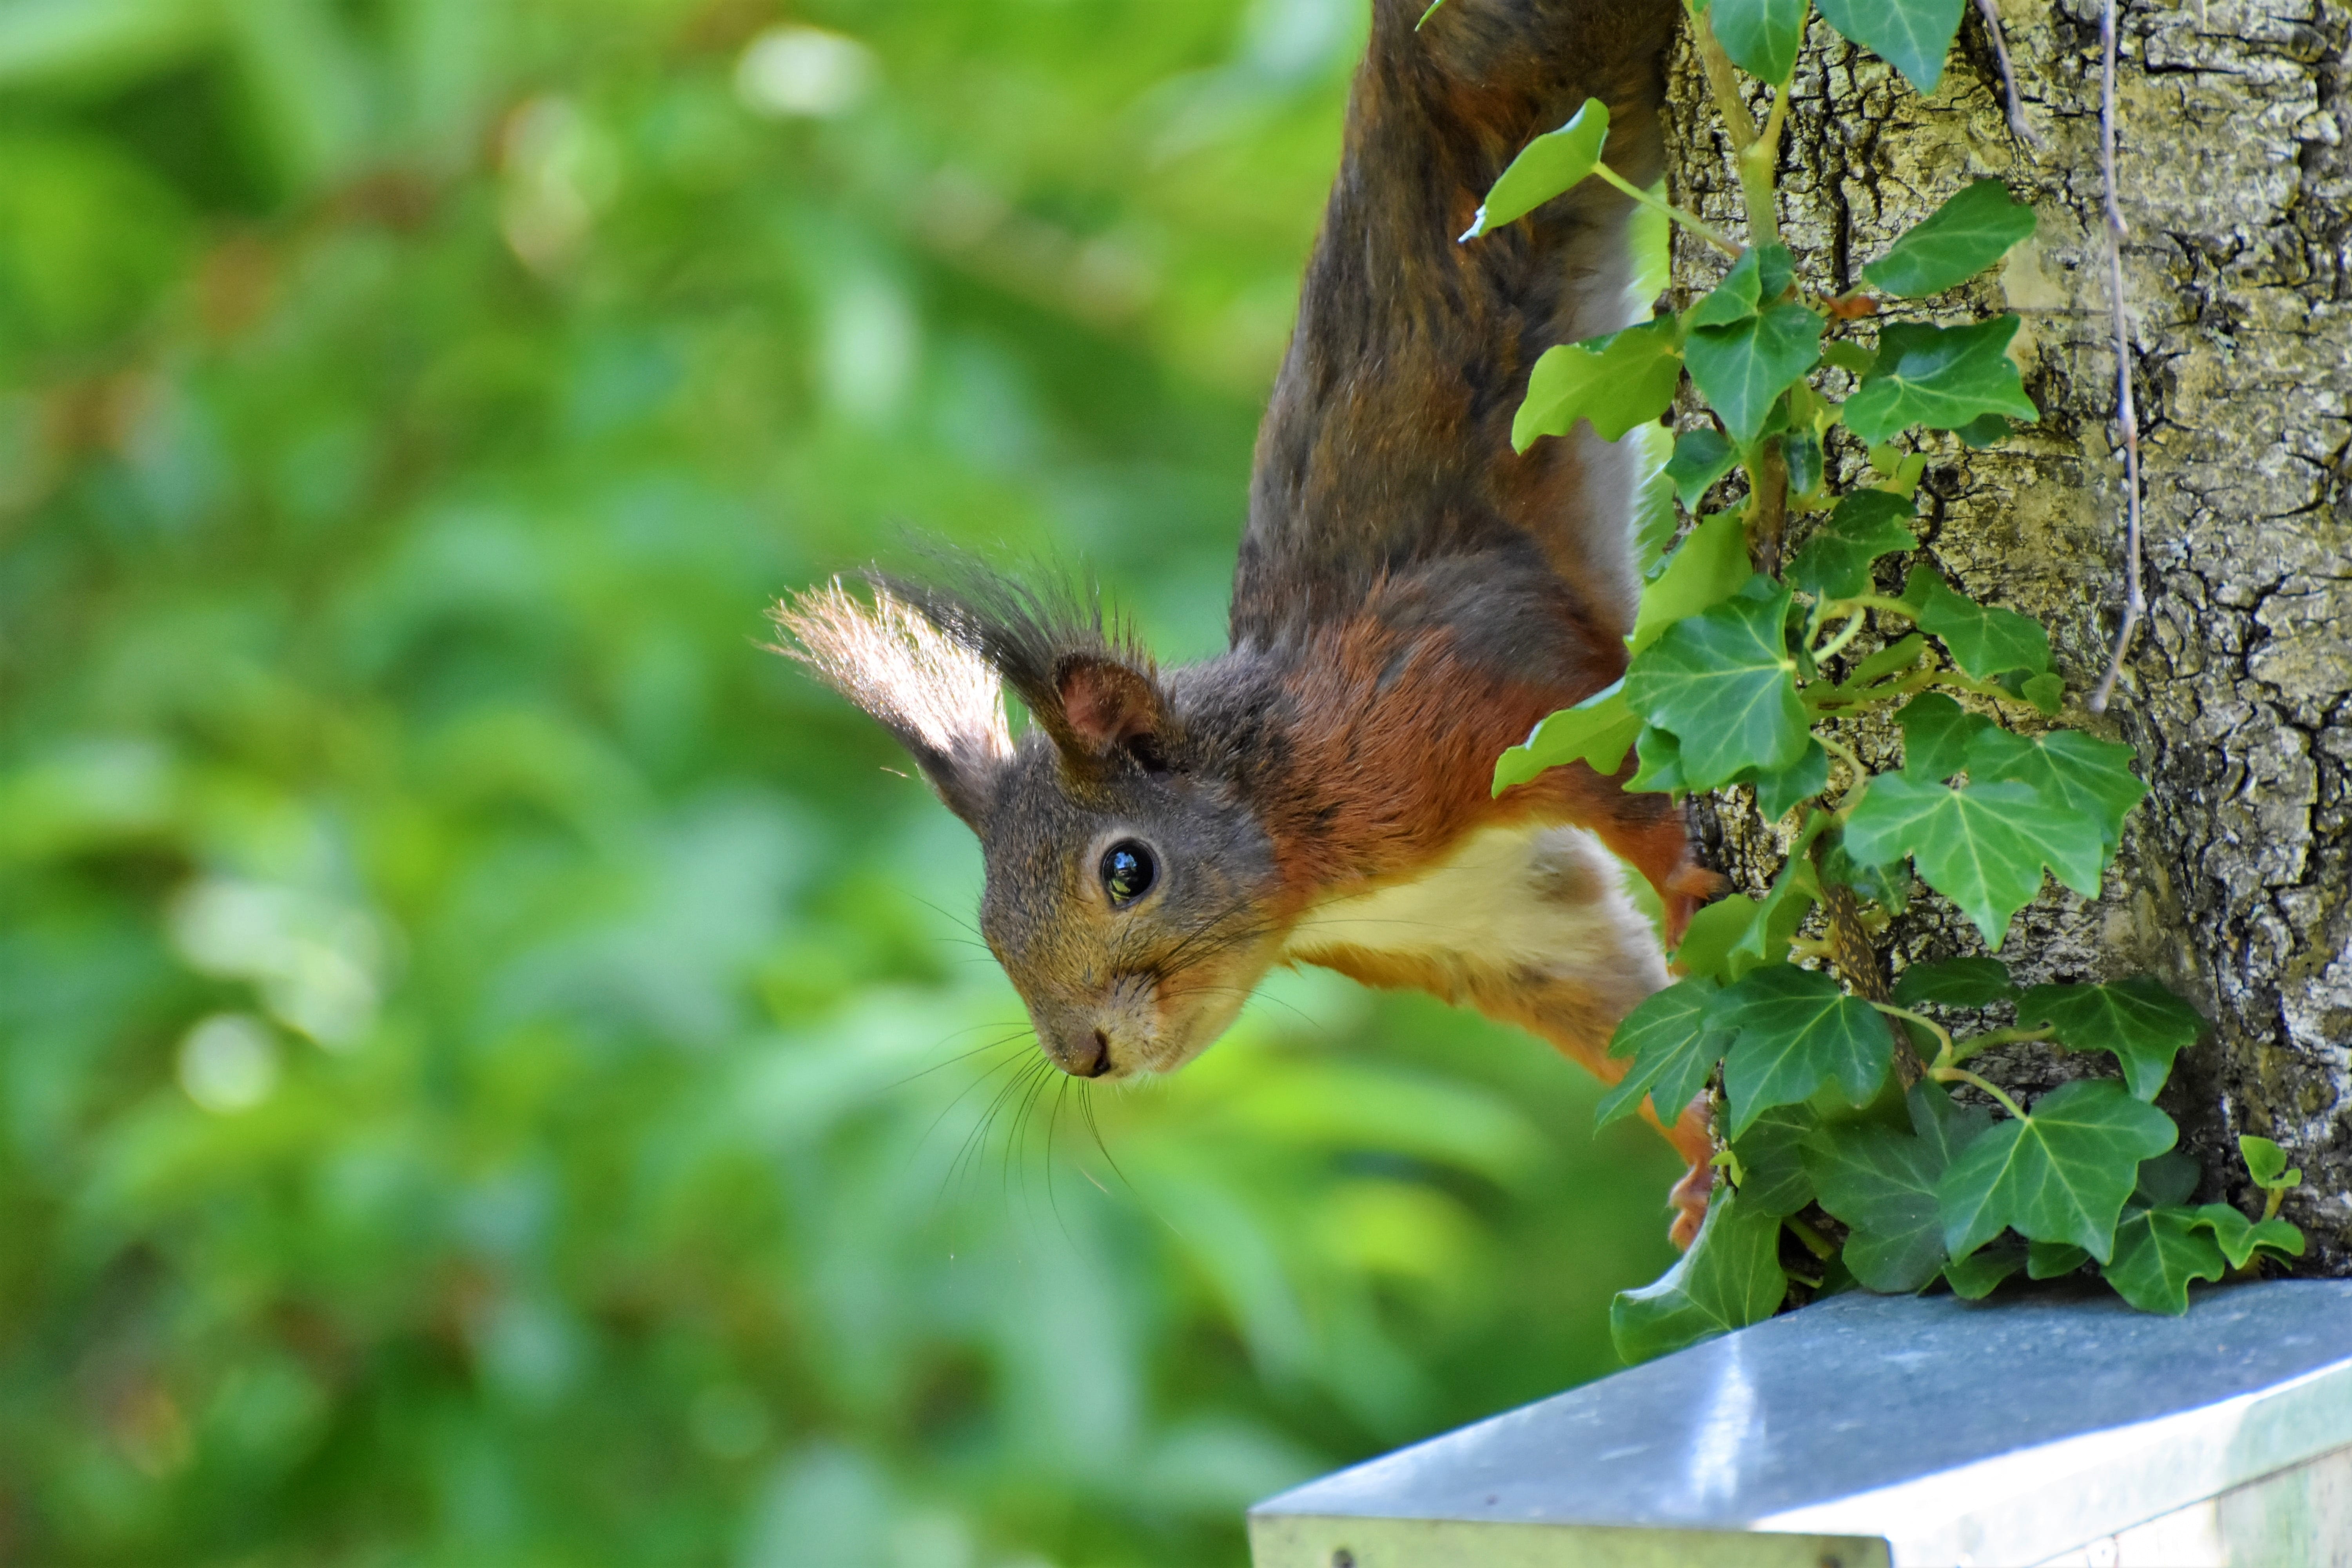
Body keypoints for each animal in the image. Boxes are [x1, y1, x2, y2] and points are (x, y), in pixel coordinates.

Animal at [777, 0, 1723, 1246]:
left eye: (1127, 871)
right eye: (987, 928)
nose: (1083, 1055)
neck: (1292, 824)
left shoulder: (1479, 682)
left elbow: (1619, 747)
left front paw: (1689, 874)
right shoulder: (1498, 928)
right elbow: (1613, 1018)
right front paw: (1708, 1165)